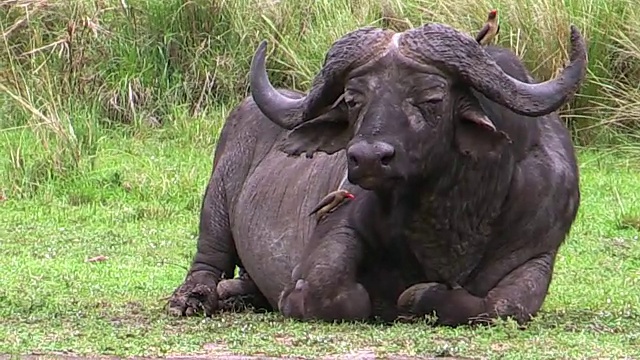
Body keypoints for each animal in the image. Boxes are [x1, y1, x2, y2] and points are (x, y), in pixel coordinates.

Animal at [168, 22, 588, 326]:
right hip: (217, 202)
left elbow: (502, 307)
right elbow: (331, 293)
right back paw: (194, 298)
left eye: (432, 98)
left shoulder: (536, 254)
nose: (368, 159)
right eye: (354, 100)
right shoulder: (335, 232)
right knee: (208, 260)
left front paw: (417, 297)